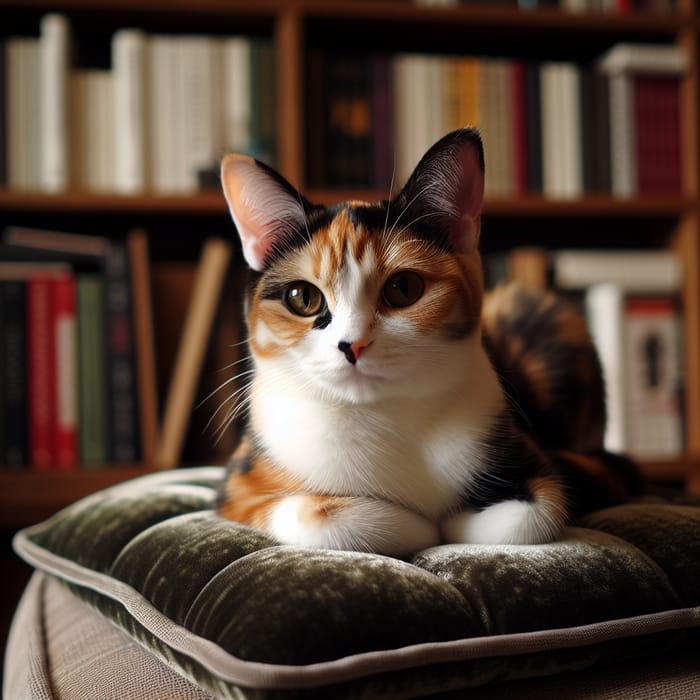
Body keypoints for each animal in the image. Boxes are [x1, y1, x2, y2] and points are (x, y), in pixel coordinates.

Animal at [216, 129, 644, 556]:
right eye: (302, 298)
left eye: (403, 288)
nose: (352, 344)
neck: (385, 415)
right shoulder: (239, 482)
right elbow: (321, 517)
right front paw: (413, 526)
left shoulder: (524, 451)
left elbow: (530, 518)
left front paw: (454, 522)